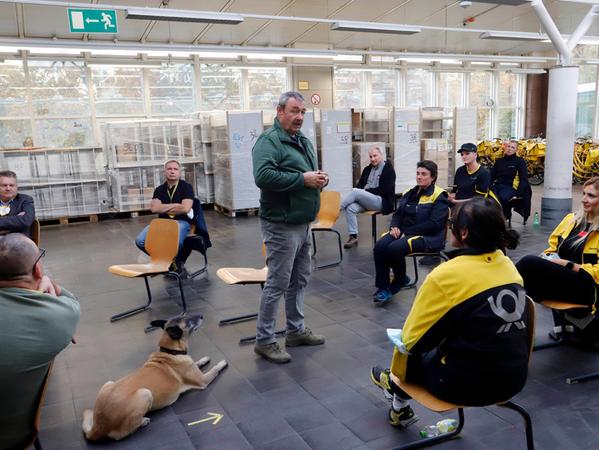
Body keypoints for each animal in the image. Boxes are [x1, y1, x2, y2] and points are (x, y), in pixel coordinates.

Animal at [82, 314, 227, 442]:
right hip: (145, 393)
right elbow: (215, 369)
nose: (202, 316)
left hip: (109, 383)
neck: (171, 351)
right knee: (120, 434)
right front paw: (222, 362)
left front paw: (204, 359)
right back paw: (142, 421)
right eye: (188, 321)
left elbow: (197, 362)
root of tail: (97, 427)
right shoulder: (203, 380)